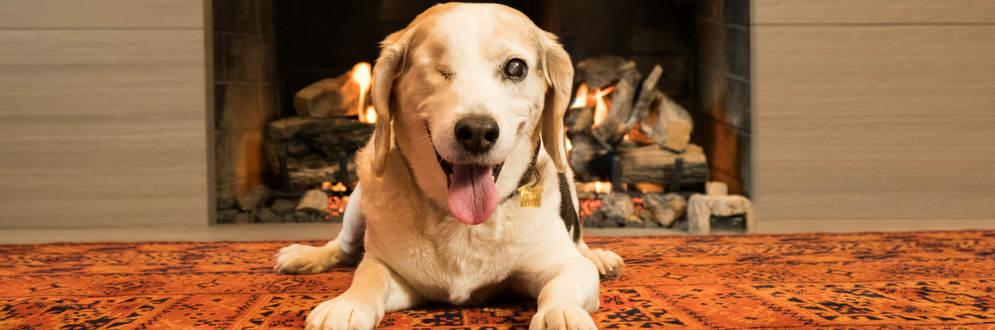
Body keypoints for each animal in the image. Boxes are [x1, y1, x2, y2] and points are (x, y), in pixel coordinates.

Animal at [272, 3, 628, 330]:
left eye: (515, 67)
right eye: (437, 68)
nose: (477, 132)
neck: (465, 223)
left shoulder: (565, 266)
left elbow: (561, 286)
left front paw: (561, 314)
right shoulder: (397, 274)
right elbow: (370, 276)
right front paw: (348, 306)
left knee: (580, 245)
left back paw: (598, 256)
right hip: (359, 201)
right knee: (344, 247)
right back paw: (305, 256)